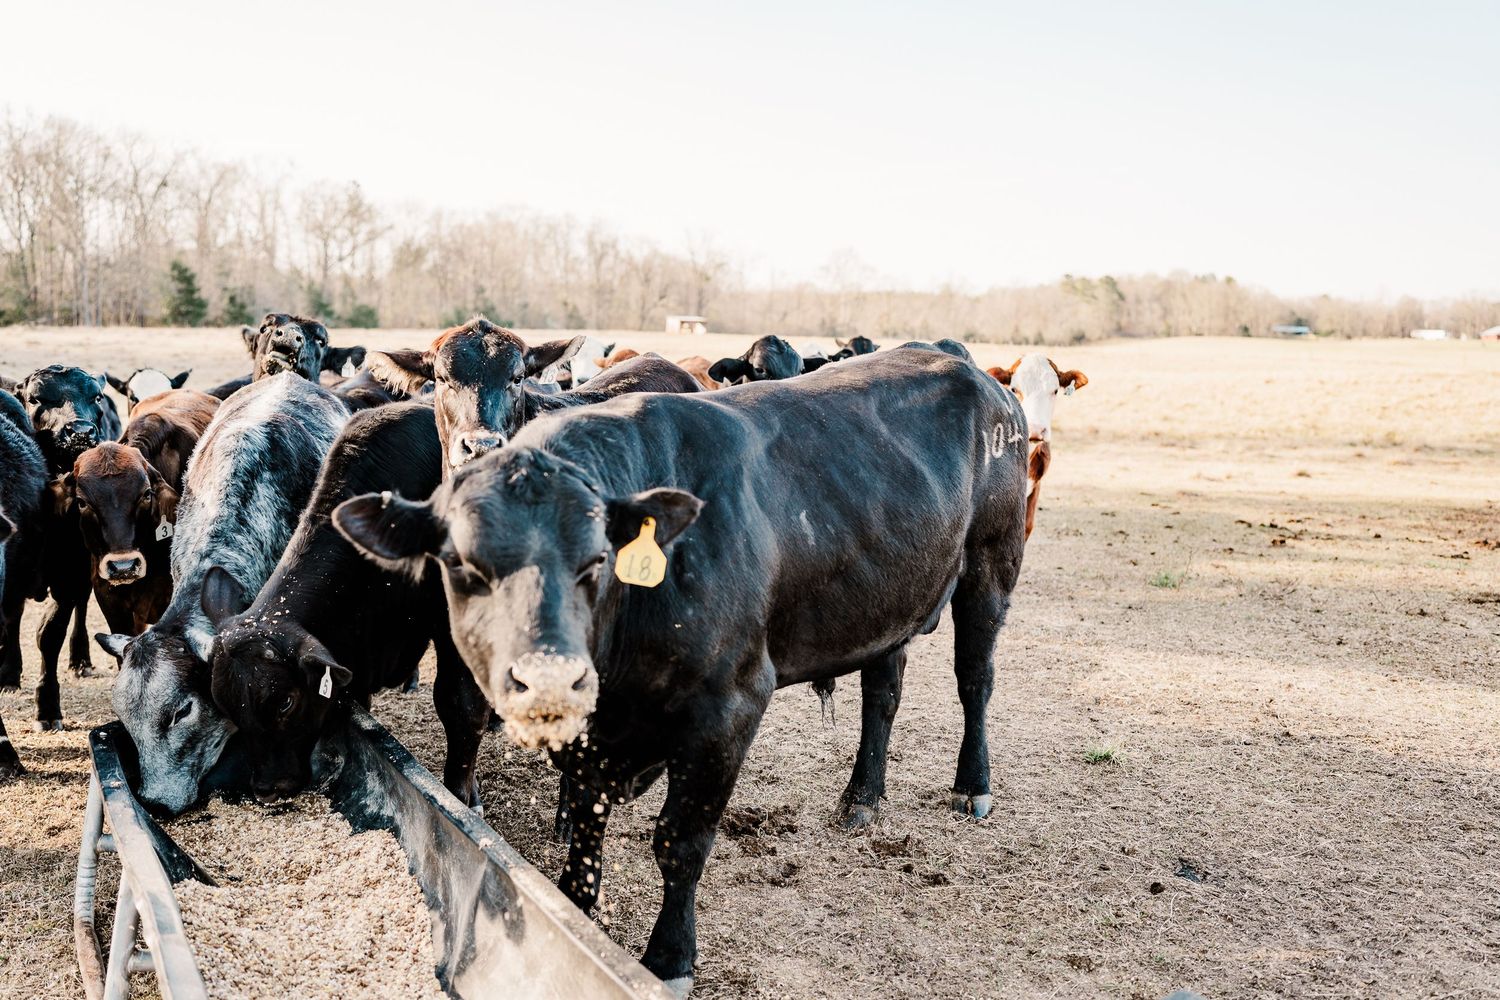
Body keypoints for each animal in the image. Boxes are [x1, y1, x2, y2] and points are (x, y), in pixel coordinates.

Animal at [8, 366, 124, 724]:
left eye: (95, 396)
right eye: (36, 399)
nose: (81, 432)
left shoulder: (70, 573)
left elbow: (49, 634)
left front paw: (47, 705)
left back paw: (80, 660)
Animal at [333, 348, 1029, 991]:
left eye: (598, 559)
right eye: (460, 564)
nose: (545, 677)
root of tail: (973, 371)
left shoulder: (730, 707)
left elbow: (681, 840)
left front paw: (669, 959)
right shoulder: (595, 736)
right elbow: (586, 827)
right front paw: (578, 914)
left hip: (991, 563)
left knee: (976, 678)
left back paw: (972, 784)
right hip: (889, 600)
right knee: (882, 691)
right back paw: (862, 796)